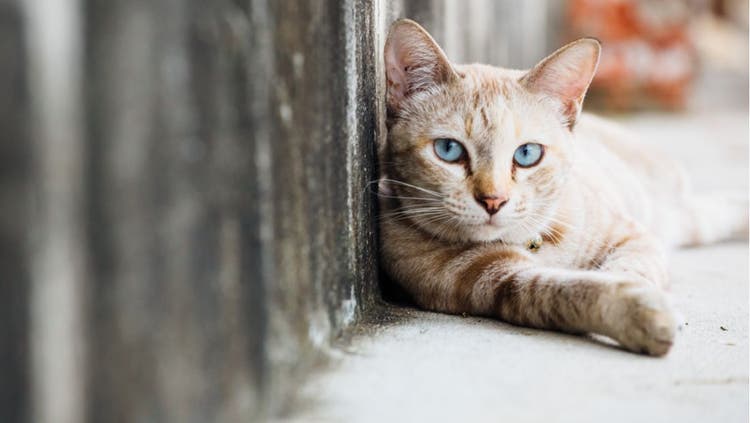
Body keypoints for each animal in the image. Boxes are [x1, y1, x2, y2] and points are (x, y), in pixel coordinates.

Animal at [378, 19, 748, 358]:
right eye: (449, 150)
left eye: (527, 154)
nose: (494, 200)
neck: (533, 242)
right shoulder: (502, 281)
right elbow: (567, 290)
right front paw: (641, 313)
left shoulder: (632, 237)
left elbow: (629, 270)